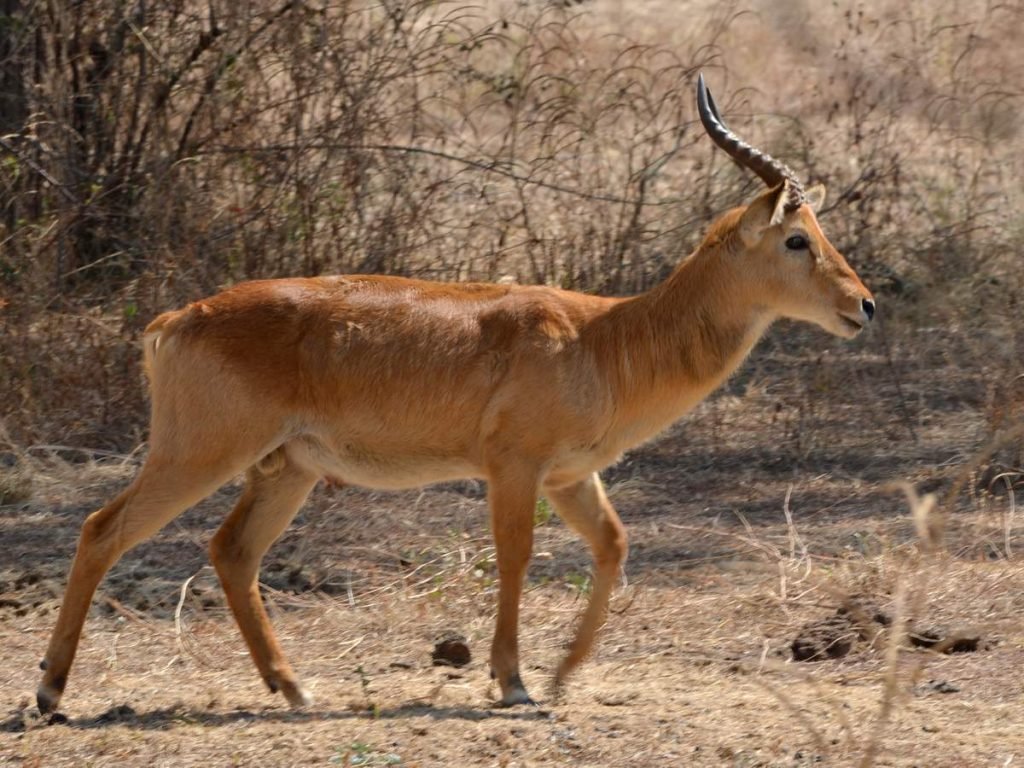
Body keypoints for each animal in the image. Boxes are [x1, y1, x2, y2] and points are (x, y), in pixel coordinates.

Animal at [36, 76, 876, 716]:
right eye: (796, 237)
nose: (863, 305)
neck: (602, 337)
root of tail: (176, 320)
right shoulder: (514, 467)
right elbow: (516, 556)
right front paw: (512, 681)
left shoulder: (571, 475)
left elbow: (612, 545)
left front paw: (561, 675)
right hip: (199, 455)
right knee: (101, 530)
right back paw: (49, 694)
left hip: (287, 468)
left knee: (231, 551)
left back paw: (293, 688)